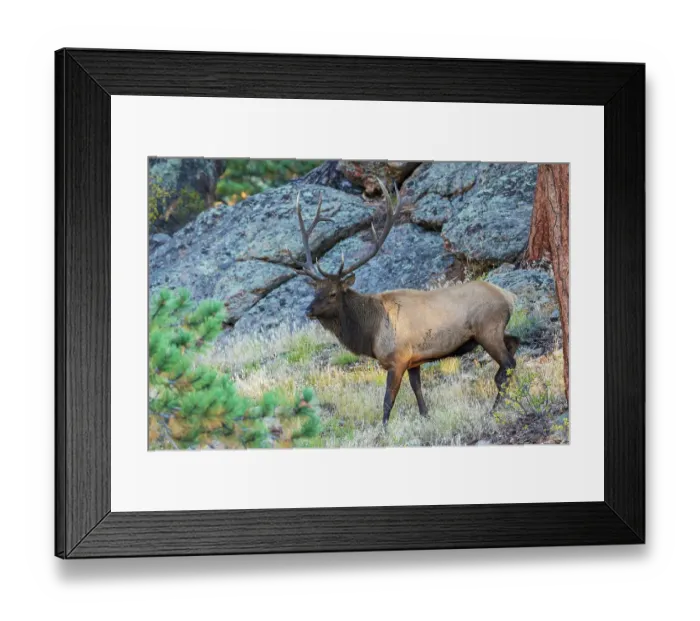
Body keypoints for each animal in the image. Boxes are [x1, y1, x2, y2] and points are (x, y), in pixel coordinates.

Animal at [287, 180, 520, 426]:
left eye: (332, 293)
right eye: (315, 291)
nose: (308, 310)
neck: (370, 332)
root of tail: (508, 296)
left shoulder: (397, 359)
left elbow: (388, 400)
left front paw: (384, 428)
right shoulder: (414, 360)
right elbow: (417, 389)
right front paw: (425, 416)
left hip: (487, 329)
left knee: (509, 363)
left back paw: (495, 410)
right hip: (490, 332)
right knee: (514, 343)